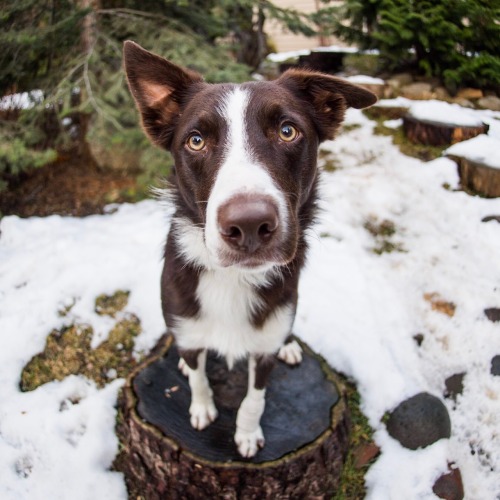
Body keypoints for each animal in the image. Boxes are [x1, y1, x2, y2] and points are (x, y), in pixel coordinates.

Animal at [124, 42, 376, 458]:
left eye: (288, 131)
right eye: (196, 140)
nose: (249, 226)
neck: (232, 279)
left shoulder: (264, 348)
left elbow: (255, 397)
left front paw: (245, 433)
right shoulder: (186, 325)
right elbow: (198, 378)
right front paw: (202, 408)